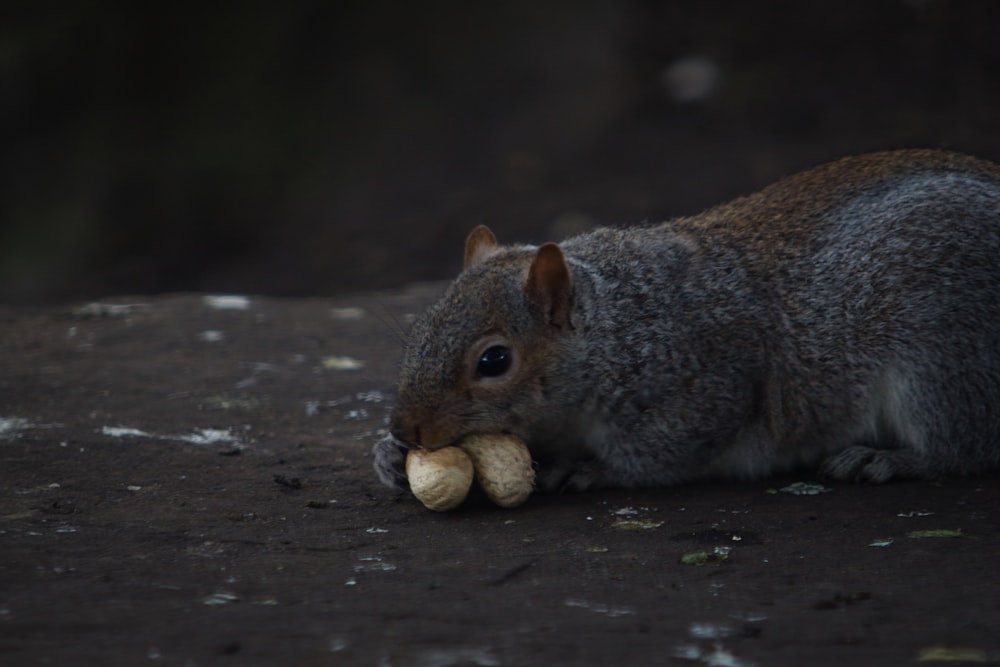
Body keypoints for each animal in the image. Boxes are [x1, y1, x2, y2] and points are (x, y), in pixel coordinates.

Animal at [372, 151, 1000, 494]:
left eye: (494, 360)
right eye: (421, 329)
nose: (406, 429)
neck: (619, 330)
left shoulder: (706, 382)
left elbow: (663, 453)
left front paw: (589, 469)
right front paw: (387, 458)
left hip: (941, 356)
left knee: (961, 446)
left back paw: (889, 458)